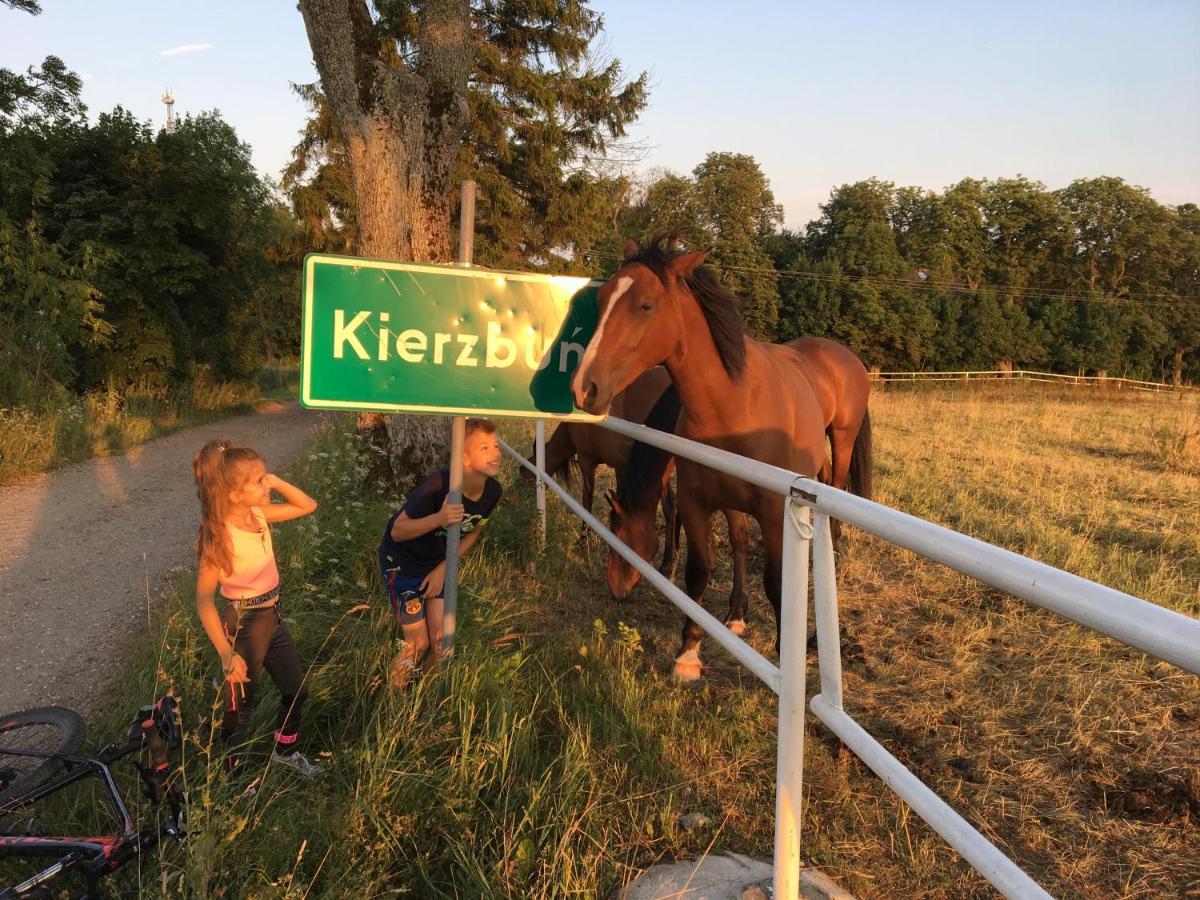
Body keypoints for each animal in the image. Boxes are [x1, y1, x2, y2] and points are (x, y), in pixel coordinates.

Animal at [573, 236, 873, 681]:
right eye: (603, 298)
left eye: (645, 305)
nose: (584, 387)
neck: (737, 404)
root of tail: (843, 355)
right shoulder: (704, 501)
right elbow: (712, 561)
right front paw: (695, 646)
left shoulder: (772, 510)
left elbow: (776, 582)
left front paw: (785, 653)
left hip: (842, 441)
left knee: (833, 517)